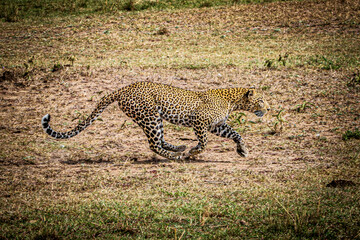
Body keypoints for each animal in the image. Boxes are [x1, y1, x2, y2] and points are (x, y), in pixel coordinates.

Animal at [40, 81, 270, 160]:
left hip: (154, 118)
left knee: (158, 141)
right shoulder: (200, 122)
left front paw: (243, 150)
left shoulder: (216, 126)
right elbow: (204, 143)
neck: (233, 101)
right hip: (149, 116)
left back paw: (178, 149)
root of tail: (123, 89)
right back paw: (177, 156)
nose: (268, 109)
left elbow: (236, 134)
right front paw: (194, 151)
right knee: (153, 144)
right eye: (261, 100)